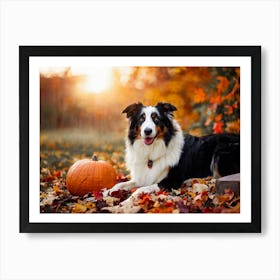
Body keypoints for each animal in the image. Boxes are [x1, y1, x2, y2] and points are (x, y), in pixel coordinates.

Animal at [108, 101, 240, 200]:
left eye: (156, 119)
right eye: (141, 119)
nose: (147, 131)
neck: (151, 151)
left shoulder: (171, 181)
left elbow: (143, 189)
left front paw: (129, 199)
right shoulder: (142, 177)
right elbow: (121, 184)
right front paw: (109, 191)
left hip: (221, 151)